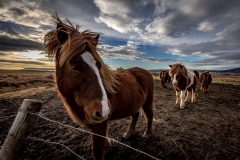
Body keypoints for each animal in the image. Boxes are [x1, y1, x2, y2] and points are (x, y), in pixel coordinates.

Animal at [44, 15, 155, 160]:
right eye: (75, 67)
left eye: (99, 65)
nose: (104, 110)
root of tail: (146, 72)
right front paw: (108, 145)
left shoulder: (99, 125)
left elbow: (97, 151)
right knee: (135, 115)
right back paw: (128, 133)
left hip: (148, 101)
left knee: (149, 114)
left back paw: (147, 133)